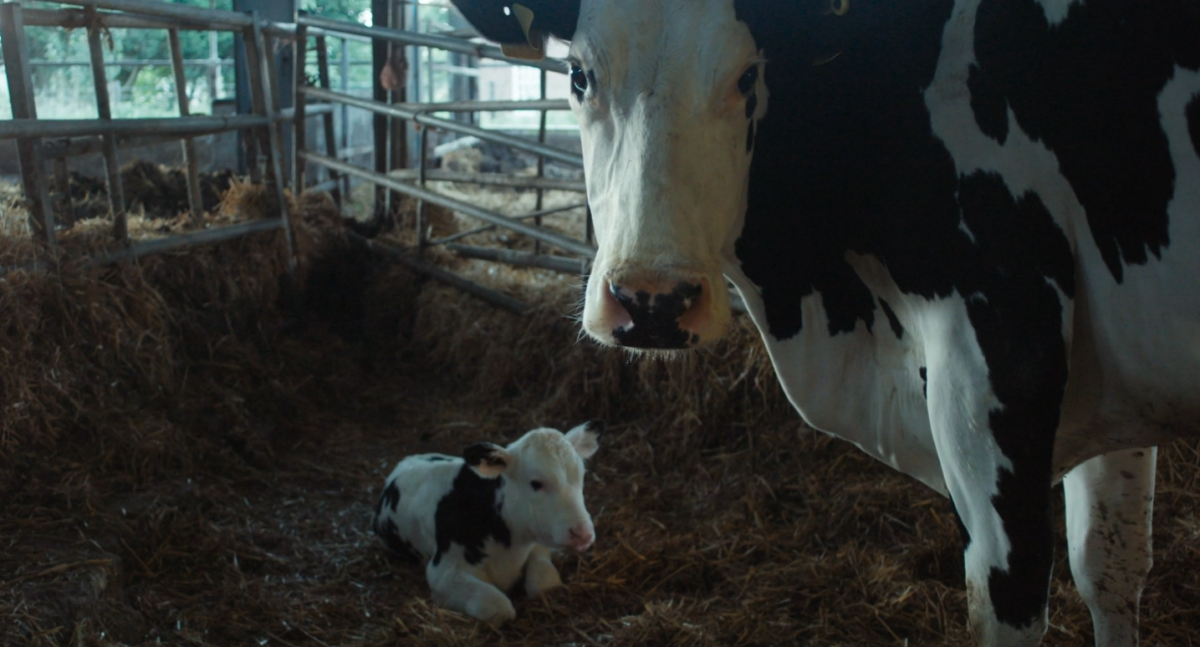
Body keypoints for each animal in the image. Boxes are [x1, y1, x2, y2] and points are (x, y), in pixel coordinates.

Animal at [371, 421, 602, 626]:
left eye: (581, 476)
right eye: (536, 483)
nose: (583, 533)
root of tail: (408, 459)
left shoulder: (538, 546)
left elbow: (546, 583)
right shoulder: (443, 571)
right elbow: (499, 607)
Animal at [445, 1, 1200, 645]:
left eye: (749, 75)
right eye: (579, 73)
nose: (652, 301)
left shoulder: (1003, 351)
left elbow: (1006, 599)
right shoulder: (1110, 388)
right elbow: (1110, 567)